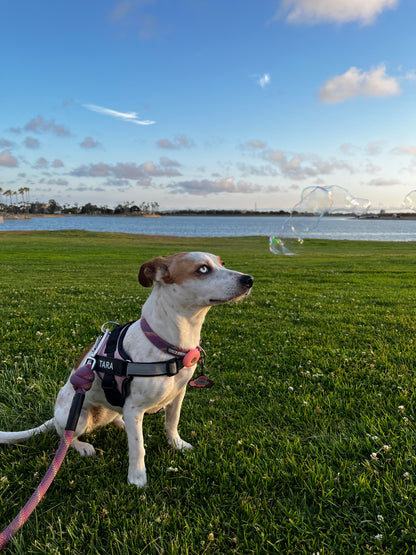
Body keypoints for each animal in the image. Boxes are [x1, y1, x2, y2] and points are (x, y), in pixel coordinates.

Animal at [0, 254, 254, 488]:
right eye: (202, 269)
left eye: (221, 263)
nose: (249, 279)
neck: (167, 343)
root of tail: (55, 417)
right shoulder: (134, 406)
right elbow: (138, 448)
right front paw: (137, 478)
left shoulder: (177, 396)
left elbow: (172, 423)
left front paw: (177, 445)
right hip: (79, 416)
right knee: (65, 435)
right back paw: (82, 445)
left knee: (117, 420)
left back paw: (122, 424)